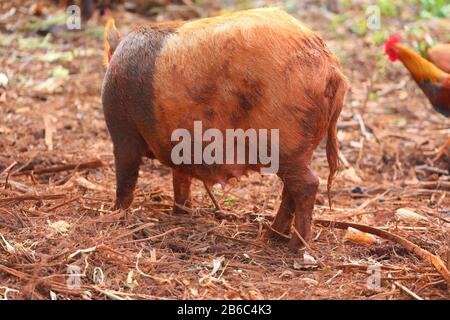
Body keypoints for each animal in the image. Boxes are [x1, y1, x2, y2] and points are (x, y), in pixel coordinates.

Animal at [102, 8, 348, 250]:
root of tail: (331, 68)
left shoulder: (123, 134)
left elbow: (126, 178)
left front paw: (115, 214)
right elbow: (180, 180)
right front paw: (180, 213)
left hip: (284, 142)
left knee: (308, 185)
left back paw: (295, 248)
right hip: (299, 149)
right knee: (292, 189)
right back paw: (272, 237)